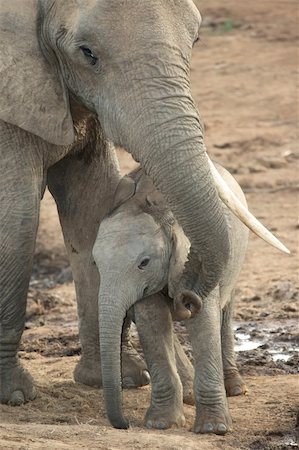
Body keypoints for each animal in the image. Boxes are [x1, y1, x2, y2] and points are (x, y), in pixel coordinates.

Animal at [0, 0, 231, 418]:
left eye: (196, 39)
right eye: (87, 53)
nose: (186, 300)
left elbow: (92, 204)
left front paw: (122, 378)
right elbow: (17, 217)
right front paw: (15, 395)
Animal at [92, 162, 250, 432]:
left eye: (144, 263)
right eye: (95, 263)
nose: (124, 424)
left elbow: (204, 322)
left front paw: (213, 428)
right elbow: (153, 324)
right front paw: (161, 423)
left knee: (226, 310)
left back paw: (235, 388)